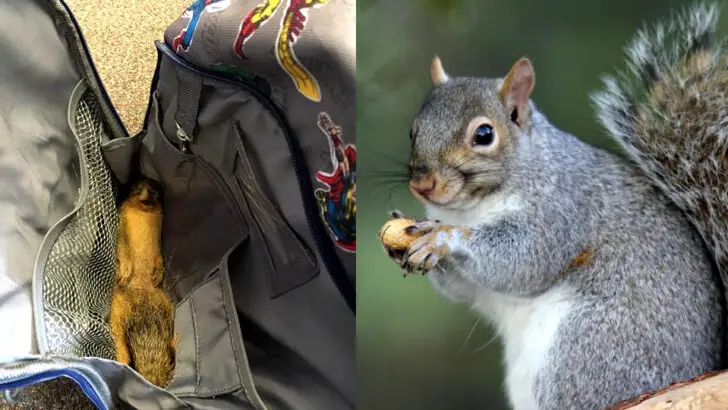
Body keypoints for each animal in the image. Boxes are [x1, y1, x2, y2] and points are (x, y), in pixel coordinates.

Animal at [108, 177, 177, 389]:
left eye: (158, 188)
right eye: (137, 185)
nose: (152, 191)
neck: (143, 212)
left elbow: (159, 258)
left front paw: (158, 274)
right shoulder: (121, 224)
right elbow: (123, 248)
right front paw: (125, 271)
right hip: (117, 309)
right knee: (119, 340)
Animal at [383, 3, 728, 410]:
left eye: (484, 134)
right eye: (413, 131)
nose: (422, 184)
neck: (469, 208)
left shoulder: (560, 209)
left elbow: (526, 260)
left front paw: (445, 239)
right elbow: (462, 289)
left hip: (585, 350)